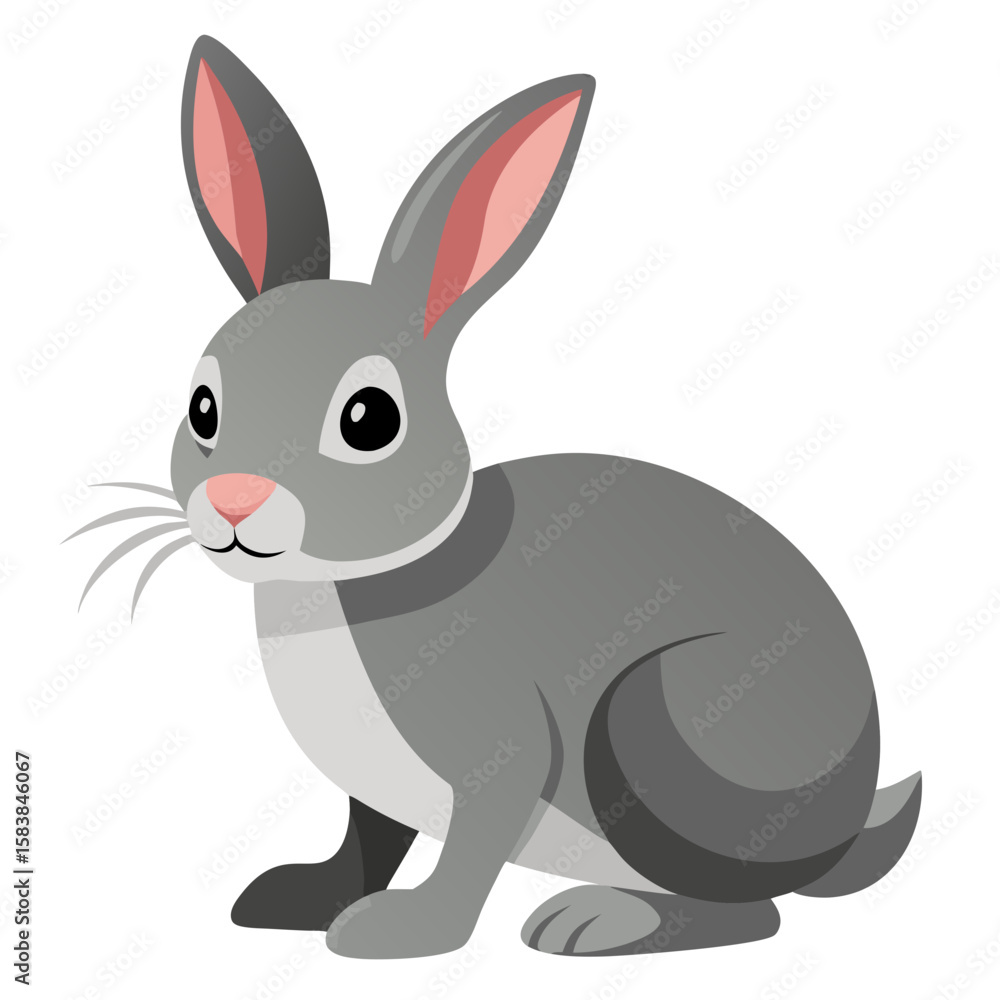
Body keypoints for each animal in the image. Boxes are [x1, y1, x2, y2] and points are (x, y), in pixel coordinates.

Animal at [71, 34, 922, 959]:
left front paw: (400, 930)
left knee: (752, 909)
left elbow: (474, 846)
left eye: (370, 419)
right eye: (204, 408)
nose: (234, 502)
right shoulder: (374, 786)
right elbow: (368, 841)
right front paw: (302, 897)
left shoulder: (500, 751)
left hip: (657, 729)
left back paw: (596, 920)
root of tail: (850, 823)